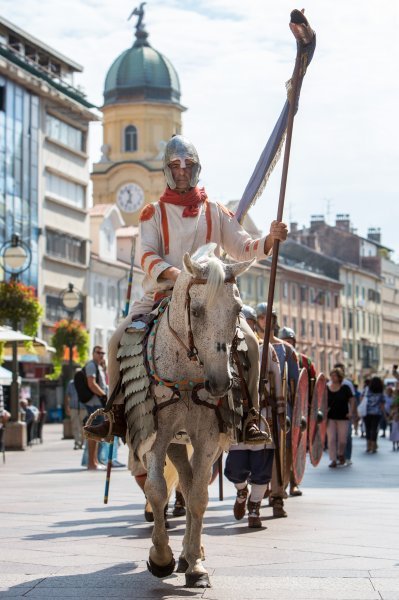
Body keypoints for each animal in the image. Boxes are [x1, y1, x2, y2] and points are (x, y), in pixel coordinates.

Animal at [139, 246, 253, 588]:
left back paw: (192, 554)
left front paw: (196, 566)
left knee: (191, 490)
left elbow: (199, 497)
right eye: (198, 311)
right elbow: (157, 490)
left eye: (237, 309)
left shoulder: (207, 439)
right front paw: (160, 557)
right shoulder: (157, 437)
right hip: (176, 443)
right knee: (182, 483)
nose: (220, 383)